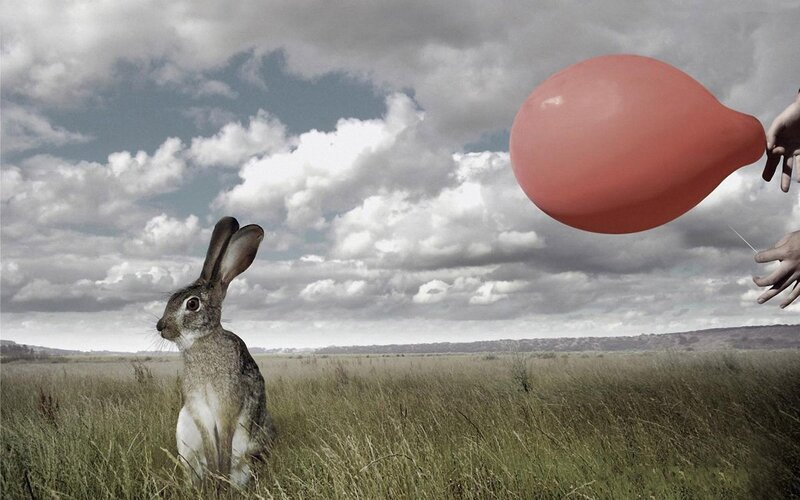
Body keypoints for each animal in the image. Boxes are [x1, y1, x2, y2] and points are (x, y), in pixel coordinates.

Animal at [156, 216, 275, 488]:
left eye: (192, 304)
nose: (161, 327)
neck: (203, 342)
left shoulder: (226, 408)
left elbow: (225, 445)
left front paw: (220, 479)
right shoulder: (200, 410)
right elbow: (211, 448)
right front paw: (214, 480)